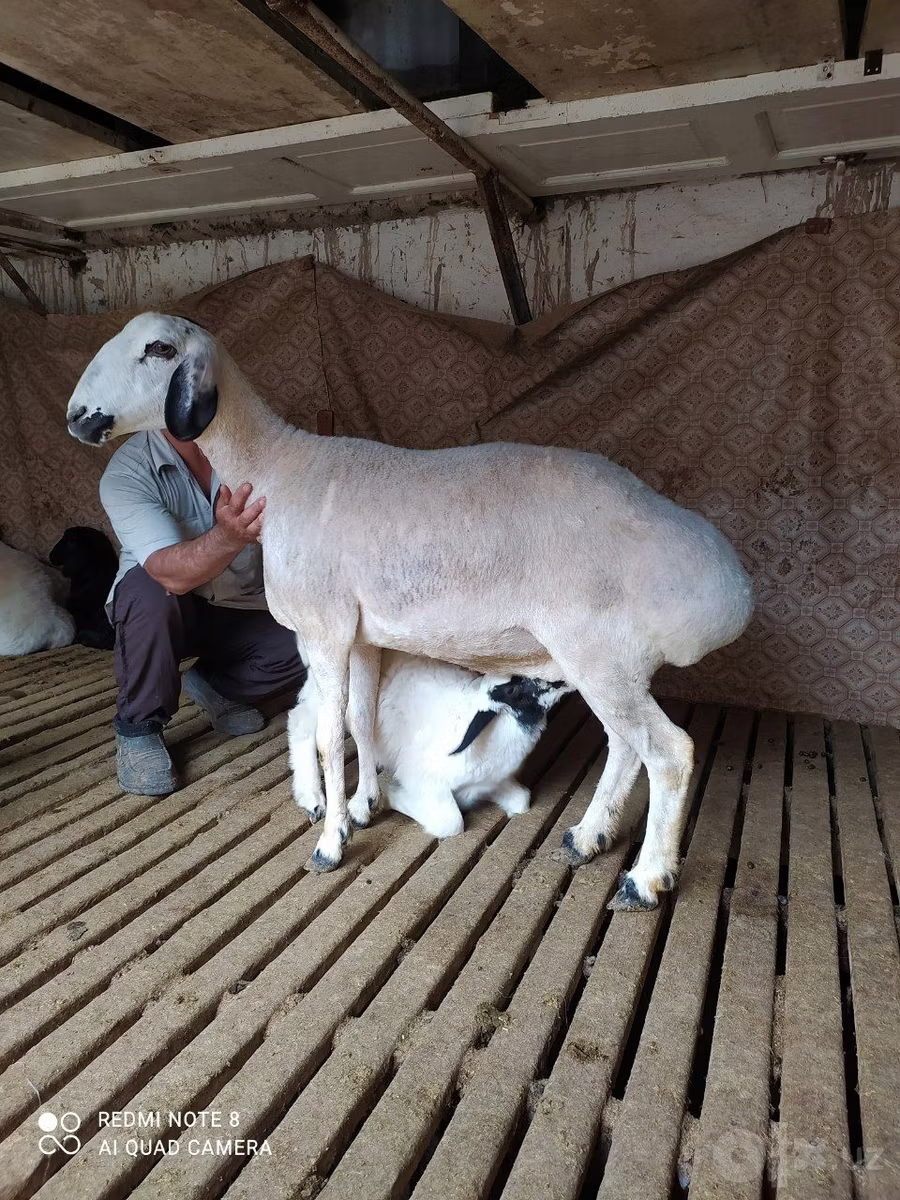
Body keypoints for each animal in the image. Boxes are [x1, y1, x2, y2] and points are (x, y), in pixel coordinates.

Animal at [288, 648, 571, 838]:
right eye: (513, 690)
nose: (562, 678)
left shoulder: (495, 783)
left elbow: (522, 800)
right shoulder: (423, 779)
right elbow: (451, 822)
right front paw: (390, 795)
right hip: (326, 698)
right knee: (302, 723)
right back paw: (313, 799)